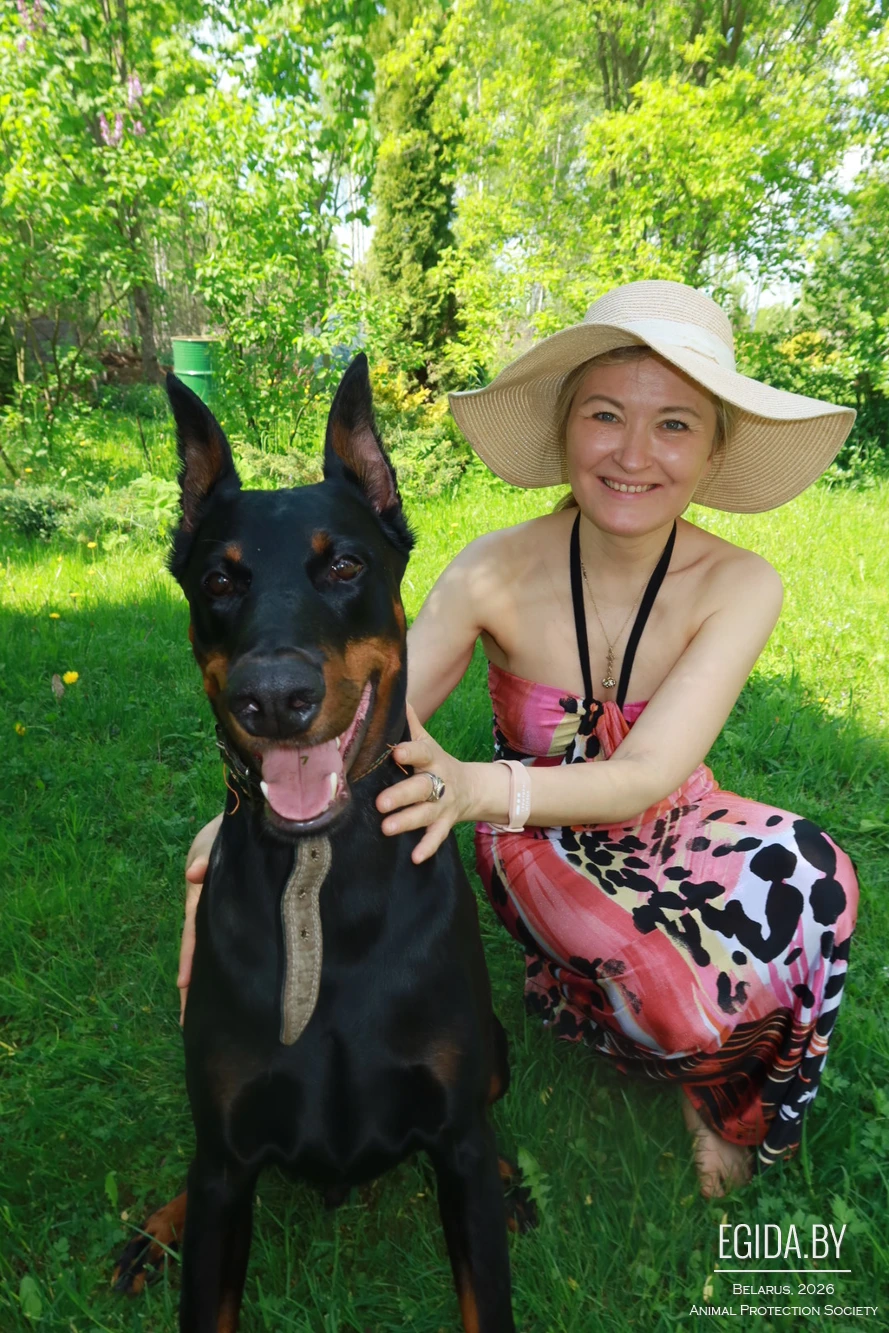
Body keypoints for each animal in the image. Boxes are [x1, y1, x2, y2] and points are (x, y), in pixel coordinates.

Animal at [113, 356, 525, 1331]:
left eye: (343, 563)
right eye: (219, 582)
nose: (273, 697)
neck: (320, 881)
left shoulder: (452, 1134)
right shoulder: (228, 1162)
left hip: (493, 1049)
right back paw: (154, 1227)